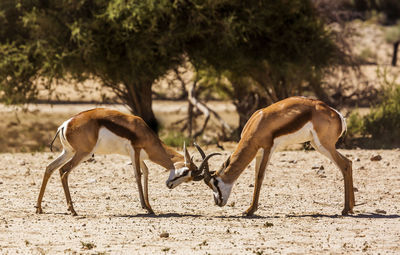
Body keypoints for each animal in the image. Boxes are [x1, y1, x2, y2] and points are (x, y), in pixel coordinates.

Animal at [36, 107, 217, 215]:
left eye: (189, 179)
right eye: (185, 172)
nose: (170, 185)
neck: (142, 130)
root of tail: (65, 124)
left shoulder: (139, 156)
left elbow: (146, 173)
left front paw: (150, 207)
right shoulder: (135, 151)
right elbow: (137, 175)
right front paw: (145, 207)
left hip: (68, 152)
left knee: (50, 168)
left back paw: (39, 208)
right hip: (82, 154)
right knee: (64, 172)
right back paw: (72, 210)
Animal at [193, 96, 354, 216]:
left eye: (215, 182)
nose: (218, 202)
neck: (258, 122)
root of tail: (338, 115)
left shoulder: (268, 149)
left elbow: (260, 176)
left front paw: (250, 210)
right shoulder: (258, 153)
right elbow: (256, 176)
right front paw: (249, 208)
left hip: (324, 145)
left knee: (345, 164)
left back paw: (345, 209)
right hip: (317, 145)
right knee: (349, 162)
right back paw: (351, 207)